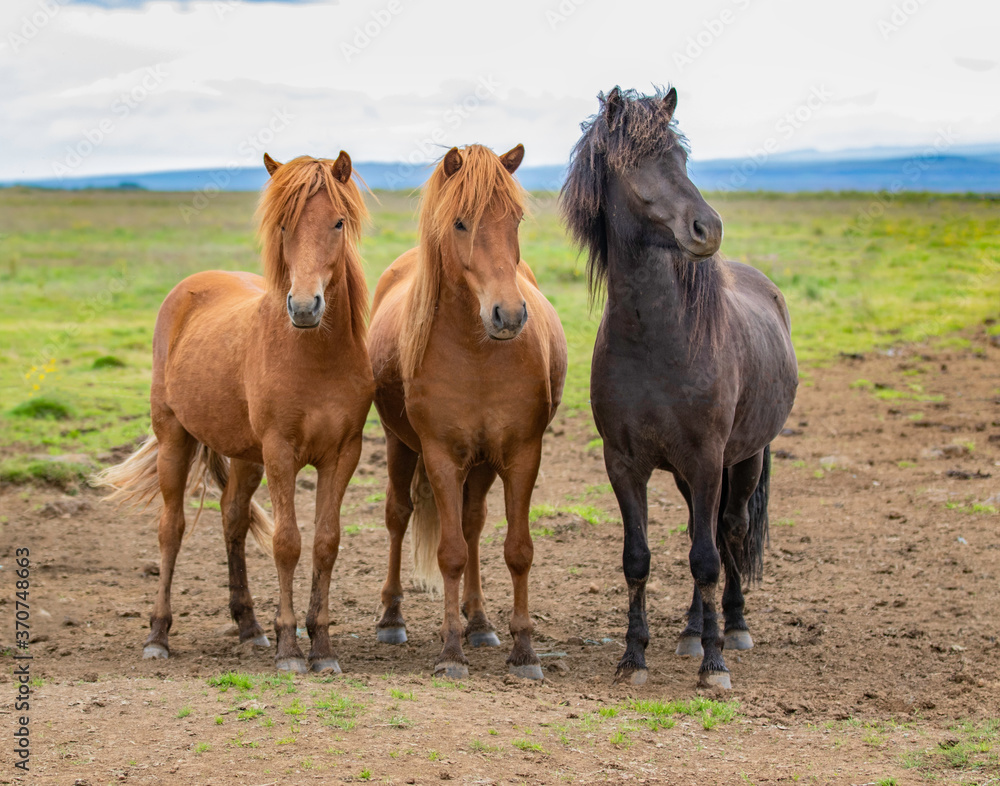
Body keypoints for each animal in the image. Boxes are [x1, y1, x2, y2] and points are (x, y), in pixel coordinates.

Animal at [96, 153, 376, 672]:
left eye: (338, 222)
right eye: (284, 224)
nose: (304, 307)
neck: (316, 355)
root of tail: (190, 286)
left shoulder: (342, 454)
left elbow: (326, 543)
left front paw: (322, 648)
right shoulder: (281, 452)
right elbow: (288, 542)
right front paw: (290, 648)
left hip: (246, 456)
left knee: (233, 519)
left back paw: (249, 627)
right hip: (175, 438)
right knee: (171, 528)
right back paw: (158, 636)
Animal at [370, 144, 572, 676]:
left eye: (515, 219)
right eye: (460, 223)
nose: (509, 315)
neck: (478, 353)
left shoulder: (522, 454)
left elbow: (517, 550)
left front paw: (524, 650)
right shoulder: (441, 457)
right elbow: (450, 554)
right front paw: (449, 651)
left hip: (481, 464)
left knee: (474, 522)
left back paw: (479, 621)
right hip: (400, 445)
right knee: (398, 516)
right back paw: (392, 618)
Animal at [564, 87, 796, 688]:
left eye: (681, 158)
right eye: (634, 163)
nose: (707, 228)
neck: (656, 342)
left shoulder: (709, 458)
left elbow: (707, 558)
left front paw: (715, 667)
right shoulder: (624, 464)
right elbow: (638, 558)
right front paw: (633, 657)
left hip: (745, 457)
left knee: (729, 531)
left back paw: (730, 628)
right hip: (690, 473)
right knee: (702, 527)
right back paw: (692, 630)